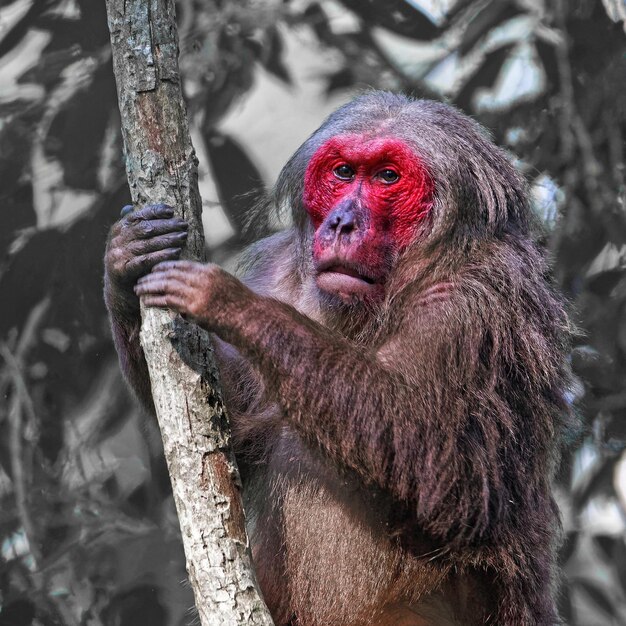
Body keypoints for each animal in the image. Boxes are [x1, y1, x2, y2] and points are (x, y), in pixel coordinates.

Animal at [105, 90, 568, 620]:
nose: (343, 221)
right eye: (344, 172)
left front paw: (232, 304)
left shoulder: (473, 307)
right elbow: (231, 437)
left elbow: (449, 476)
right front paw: (123, 265)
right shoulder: (281, 269)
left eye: (387, 177)